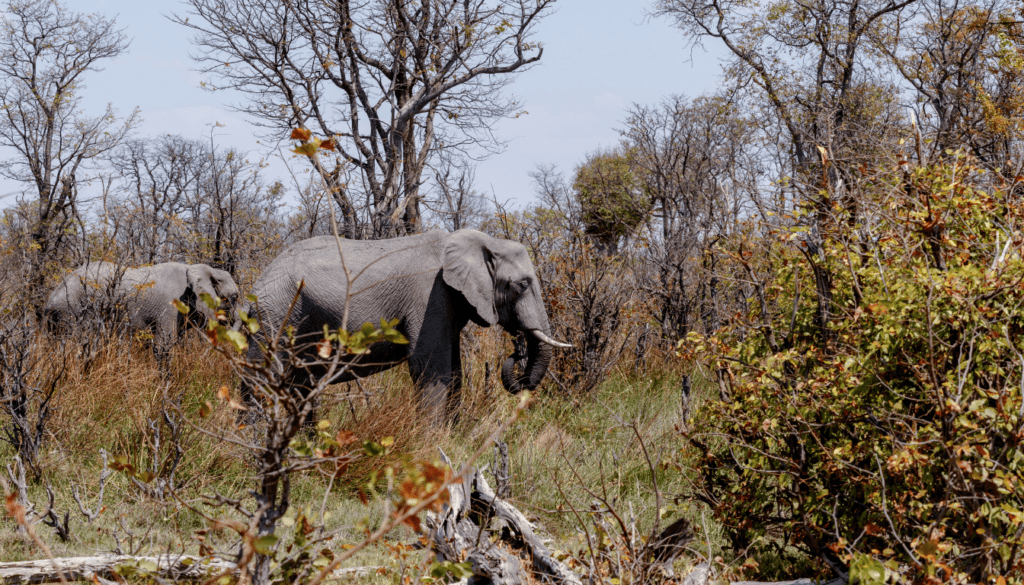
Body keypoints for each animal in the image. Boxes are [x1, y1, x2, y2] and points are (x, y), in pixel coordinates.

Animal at [242, 226, 573, 424]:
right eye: (522, 284)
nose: (517, 349)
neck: (478, 241)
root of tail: (253, 290)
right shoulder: (430, 295)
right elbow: (431, 369)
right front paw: (432, 443)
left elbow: (454, 372)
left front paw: (452, 438)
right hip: (274, 318)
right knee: (264, 384)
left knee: (298, 389)